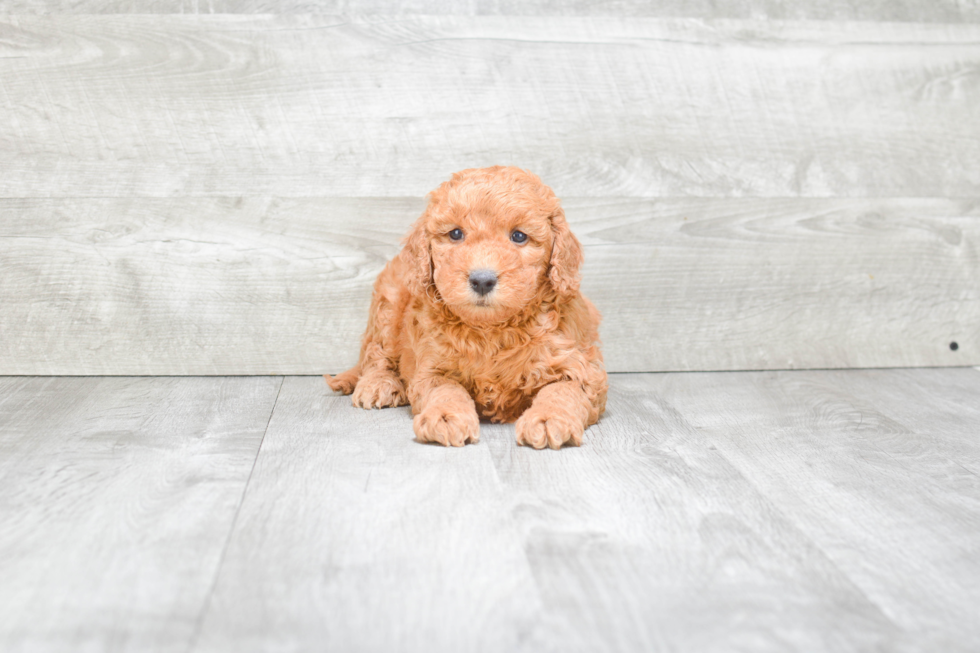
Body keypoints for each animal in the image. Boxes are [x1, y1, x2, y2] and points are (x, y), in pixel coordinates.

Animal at [328, 166, 604, 448]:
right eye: (455, 234)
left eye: (519, 236)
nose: (482, 280)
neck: (491, 330)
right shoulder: (431, 367)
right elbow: (445, 389)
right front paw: (445, 416)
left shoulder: (579, 367)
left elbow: (562, 390)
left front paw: (549, 418)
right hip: (389, 301)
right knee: (376, 353)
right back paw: (377, 384)